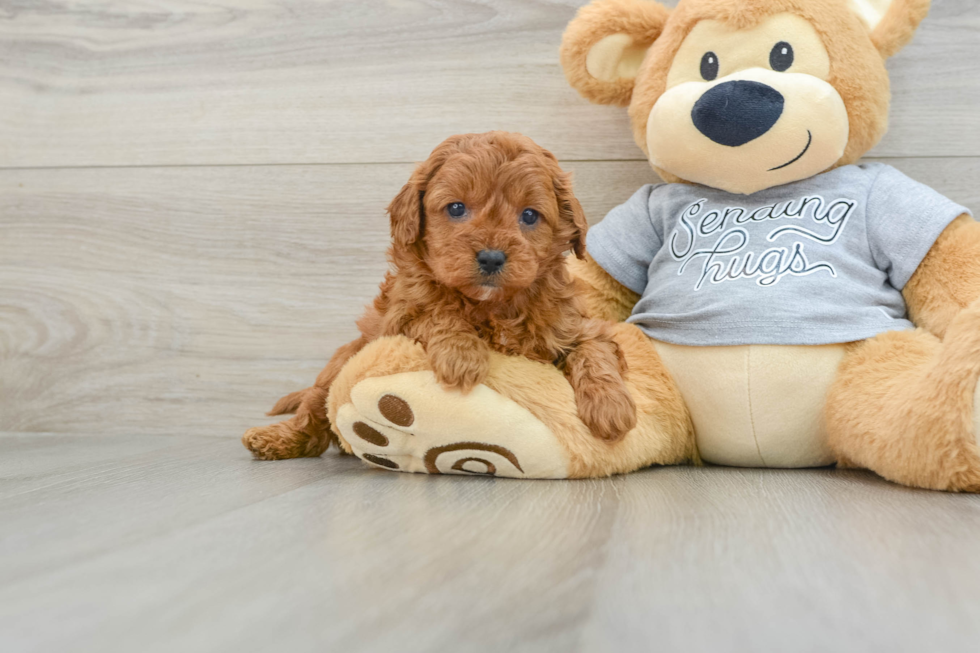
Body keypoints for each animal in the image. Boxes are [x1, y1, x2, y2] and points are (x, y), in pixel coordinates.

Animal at [243, 131, 636, 458]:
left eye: (529, 215)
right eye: (457, 208)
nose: (491, 257)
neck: (493, 307)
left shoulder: (577, 325)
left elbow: (593, 350)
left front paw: (611, 407)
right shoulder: (399, 319)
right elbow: (436, 312)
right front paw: (462, 356)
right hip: (341, 363)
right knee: (313, 411)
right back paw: (275, 439)